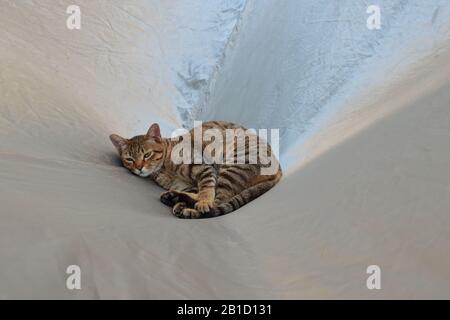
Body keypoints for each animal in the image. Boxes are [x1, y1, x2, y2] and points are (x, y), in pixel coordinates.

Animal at [110, 121, 282, 219]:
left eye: (147, 154)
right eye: (129, 159)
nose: (139, 168)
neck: (166, 170)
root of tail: (280, 170)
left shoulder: (204, 168)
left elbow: (206, 189)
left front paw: (203, 201)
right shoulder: (185, 185)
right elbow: (197, 191)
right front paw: (181, 199)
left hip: (233, 166)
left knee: (218, 202)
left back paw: (188, 208)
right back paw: (175, 200)